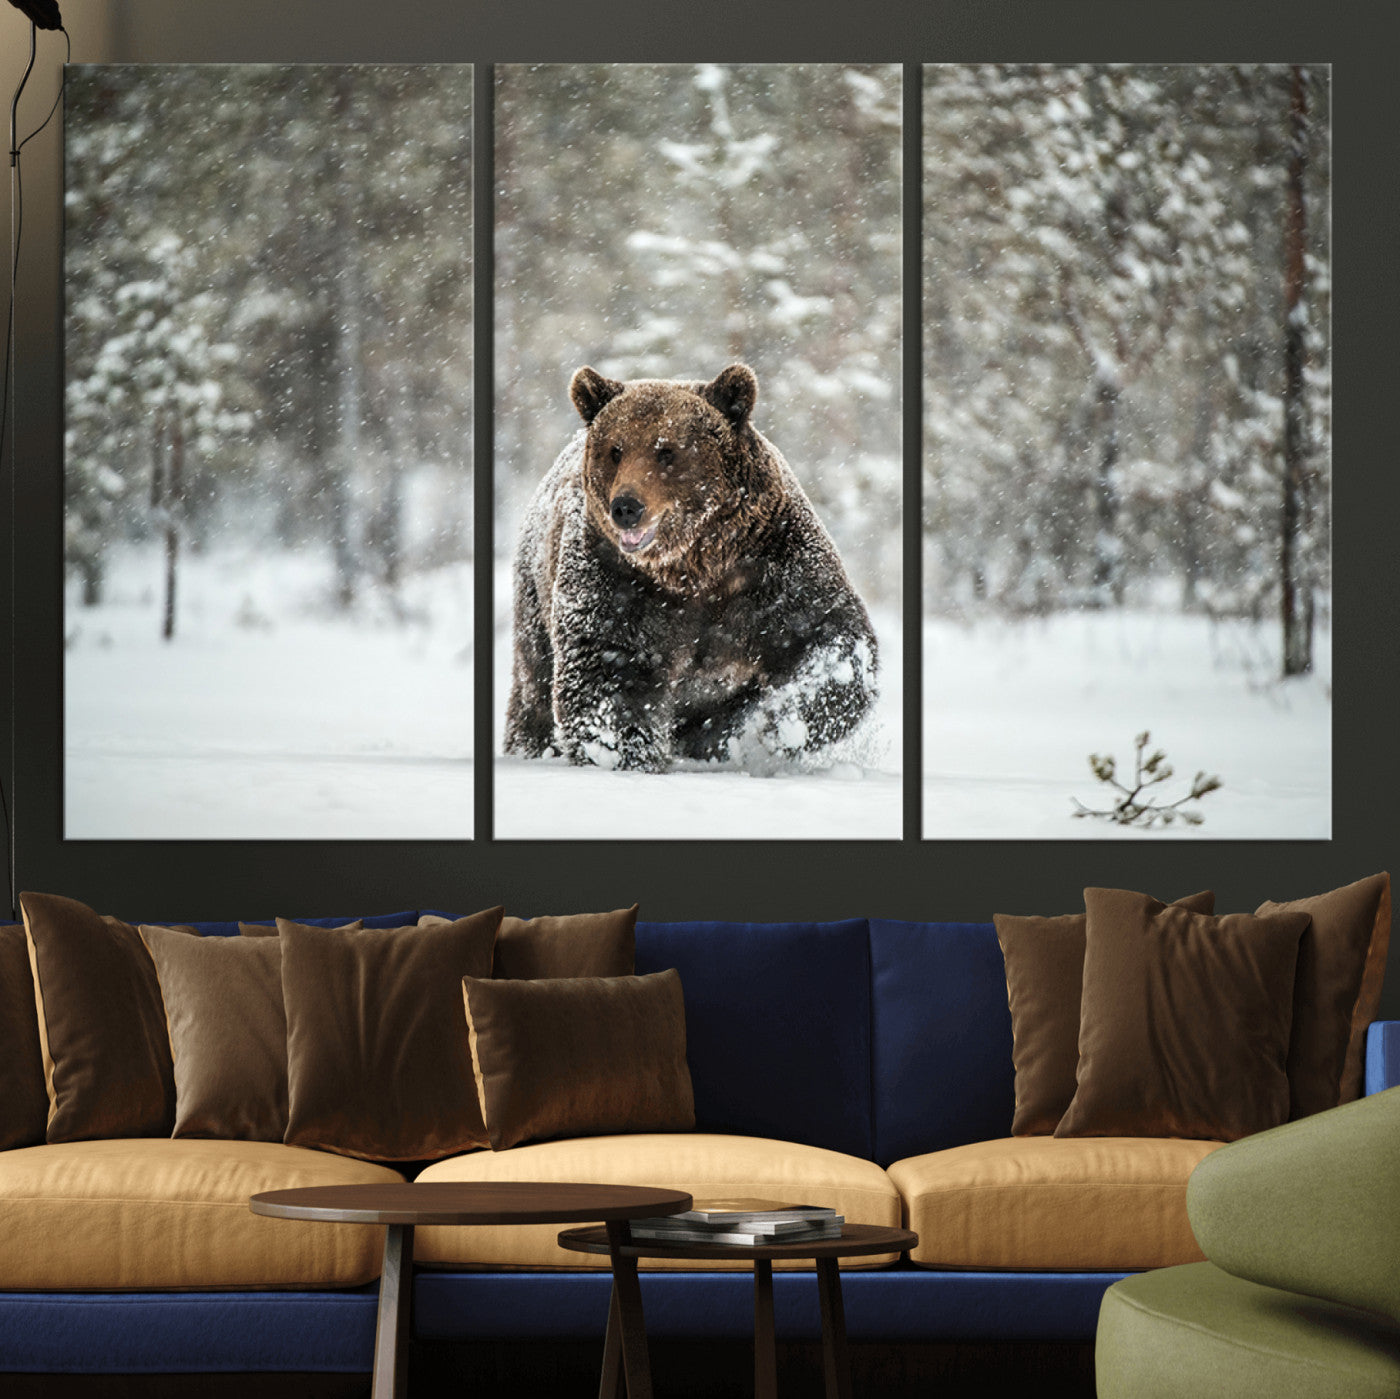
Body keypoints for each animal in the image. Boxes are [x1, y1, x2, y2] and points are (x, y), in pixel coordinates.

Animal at [504, 363, 878, 773]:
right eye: (615, 450)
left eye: (666, 451)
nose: (626, 507)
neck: (694, 565)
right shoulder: (616, 579)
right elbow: (608, 670)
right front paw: (626, 756)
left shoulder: (772, 564)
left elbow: (828, 637)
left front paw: (780, 724)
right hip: (535, 594)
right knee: (534, 686)